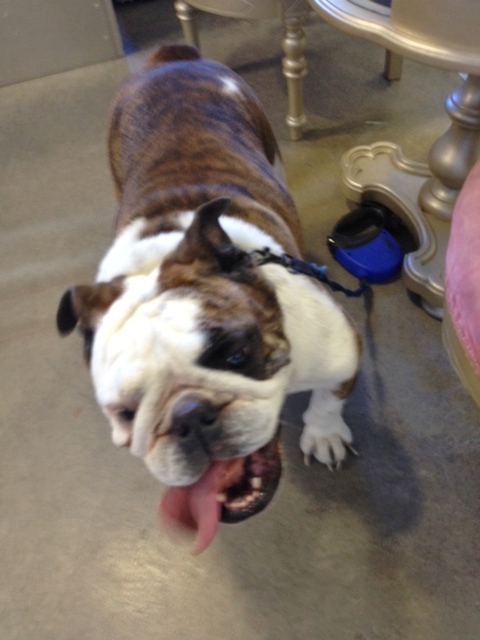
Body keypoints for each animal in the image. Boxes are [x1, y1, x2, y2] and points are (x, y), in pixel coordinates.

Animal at [56, 44, 361, 553]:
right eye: (125, 413)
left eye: (236, 355)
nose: (189, 416)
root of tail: (172, 58)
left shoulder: (341, 352)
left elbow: (329, 397)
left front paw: (324, 433)